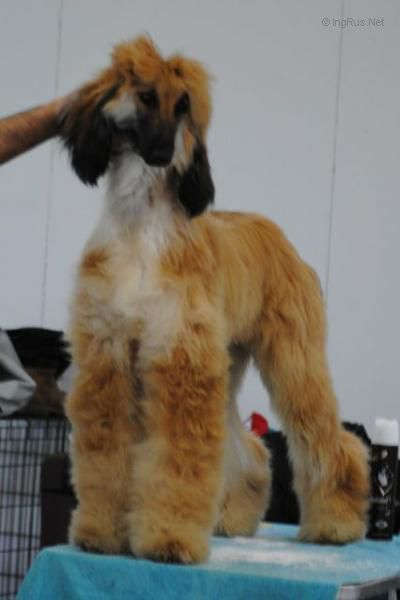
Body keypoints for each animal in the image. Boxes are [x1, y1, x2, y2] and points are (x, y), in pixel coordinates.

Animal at [60, 36, 370, 564]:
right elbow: (106, 452)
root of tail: (276, 235)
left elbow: (180, 457)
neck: (141, 227)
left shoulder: (179, 356)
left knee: (326, 437)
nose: (164, 153)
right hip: (228, 359)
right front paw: (101, 532)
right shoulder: (109, 356)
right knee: (252, 448)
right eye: (145, 94)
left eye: (185, 104)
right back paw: (236, 517)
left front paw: (169, 538)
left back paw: (336, 523)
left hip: (292, 356)